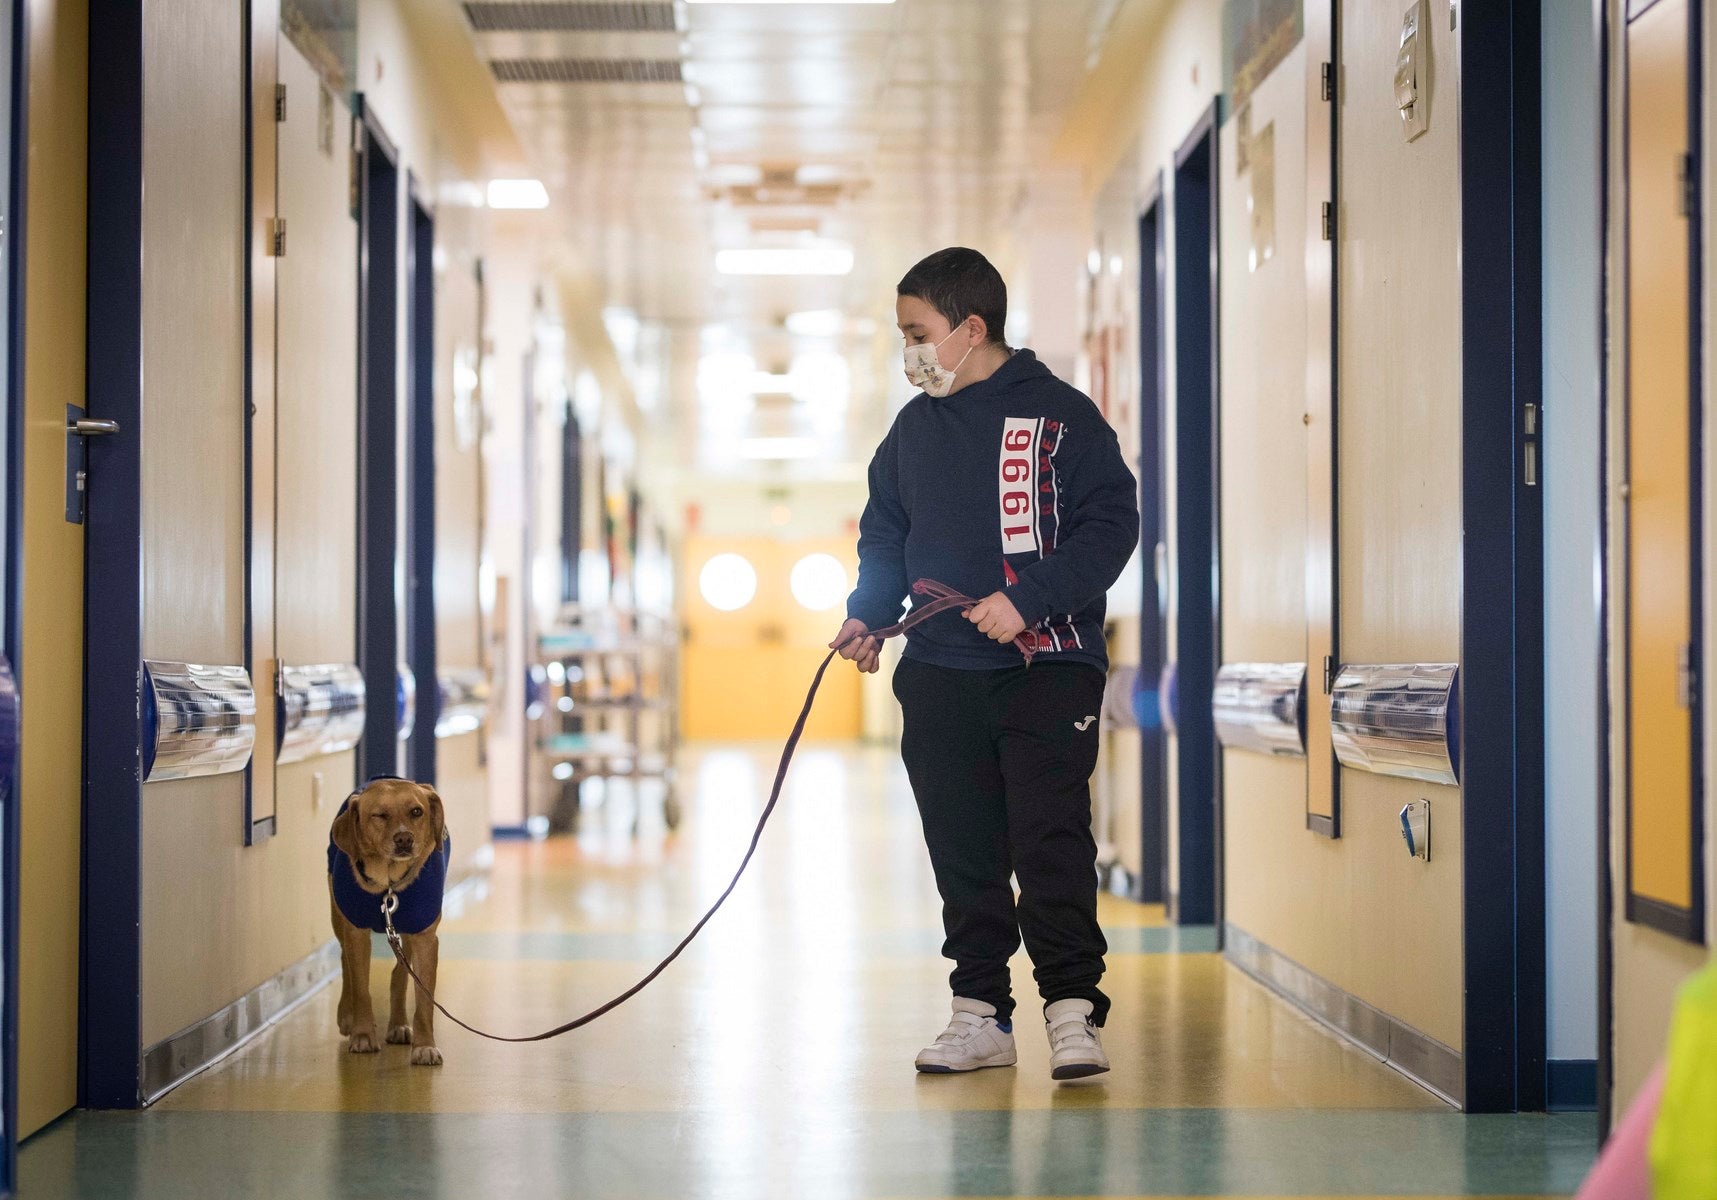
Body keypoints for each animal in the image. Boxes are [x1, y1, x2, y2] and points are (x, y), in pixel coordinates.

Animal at [326, 779, 449, 1071]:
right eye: (379, 815)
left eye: (416, 811)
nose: (404, 838)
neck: (389, 883)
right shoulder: (356, 932)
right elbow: (361, 988)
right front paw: (362, 1034)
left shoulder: (425, 937)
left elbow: (424, 998)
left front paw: (425, 1045)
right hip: (338, 916)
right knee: (344, 961)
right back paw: (347, 1014)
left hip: (407, 931)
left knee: (400, 973)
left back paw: (398, 1024)